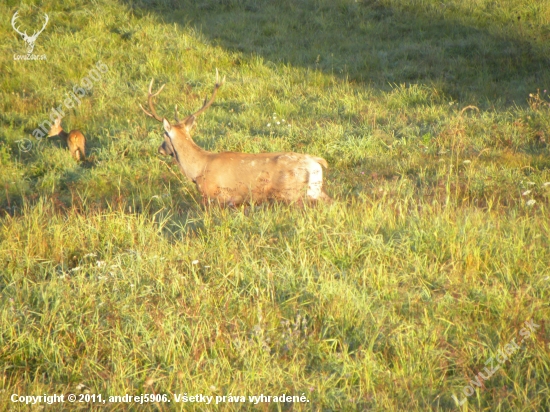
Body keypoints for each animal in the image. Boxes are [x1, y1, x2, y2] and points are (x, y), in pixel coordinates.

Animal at [142, 71, 332, 208]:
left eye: (164, 135)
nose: (160, 149)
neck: (197, 170)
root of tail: (317, 162)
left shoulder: (216, 195)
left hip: (293, 193)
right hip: (317, 191)